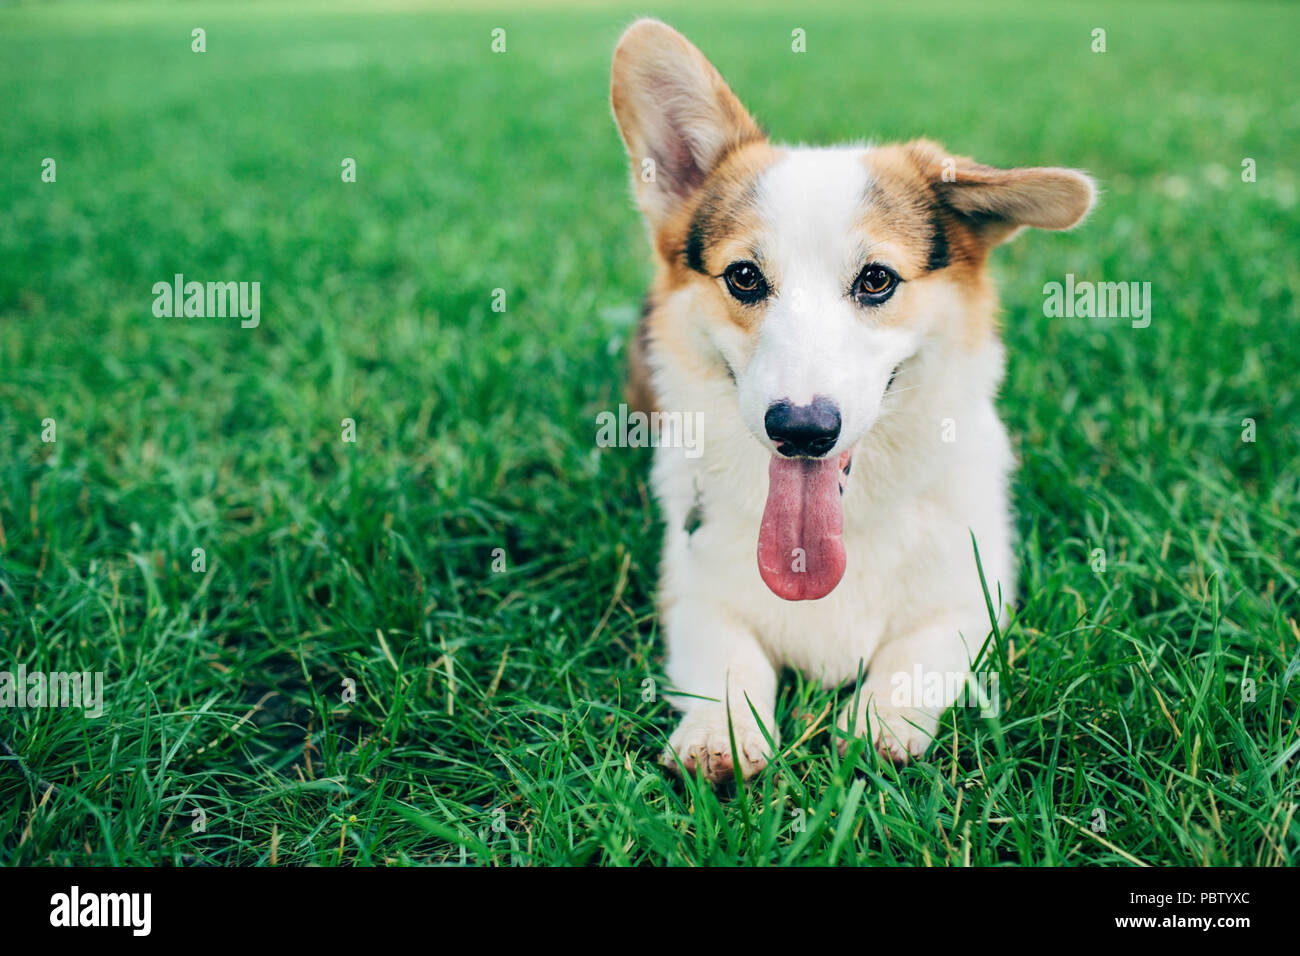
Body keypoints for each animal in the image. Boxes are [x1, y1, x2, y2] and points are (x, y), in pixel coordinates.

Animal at [603, 18, 1092, 780]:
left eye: (877, 280)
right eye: (744, 277)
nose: (802, 429)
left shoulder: (972, 598)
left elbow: (916, 654)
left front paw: (879, 724)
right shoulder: (692, 594)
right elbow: (729, 657)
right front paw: (721, 733)